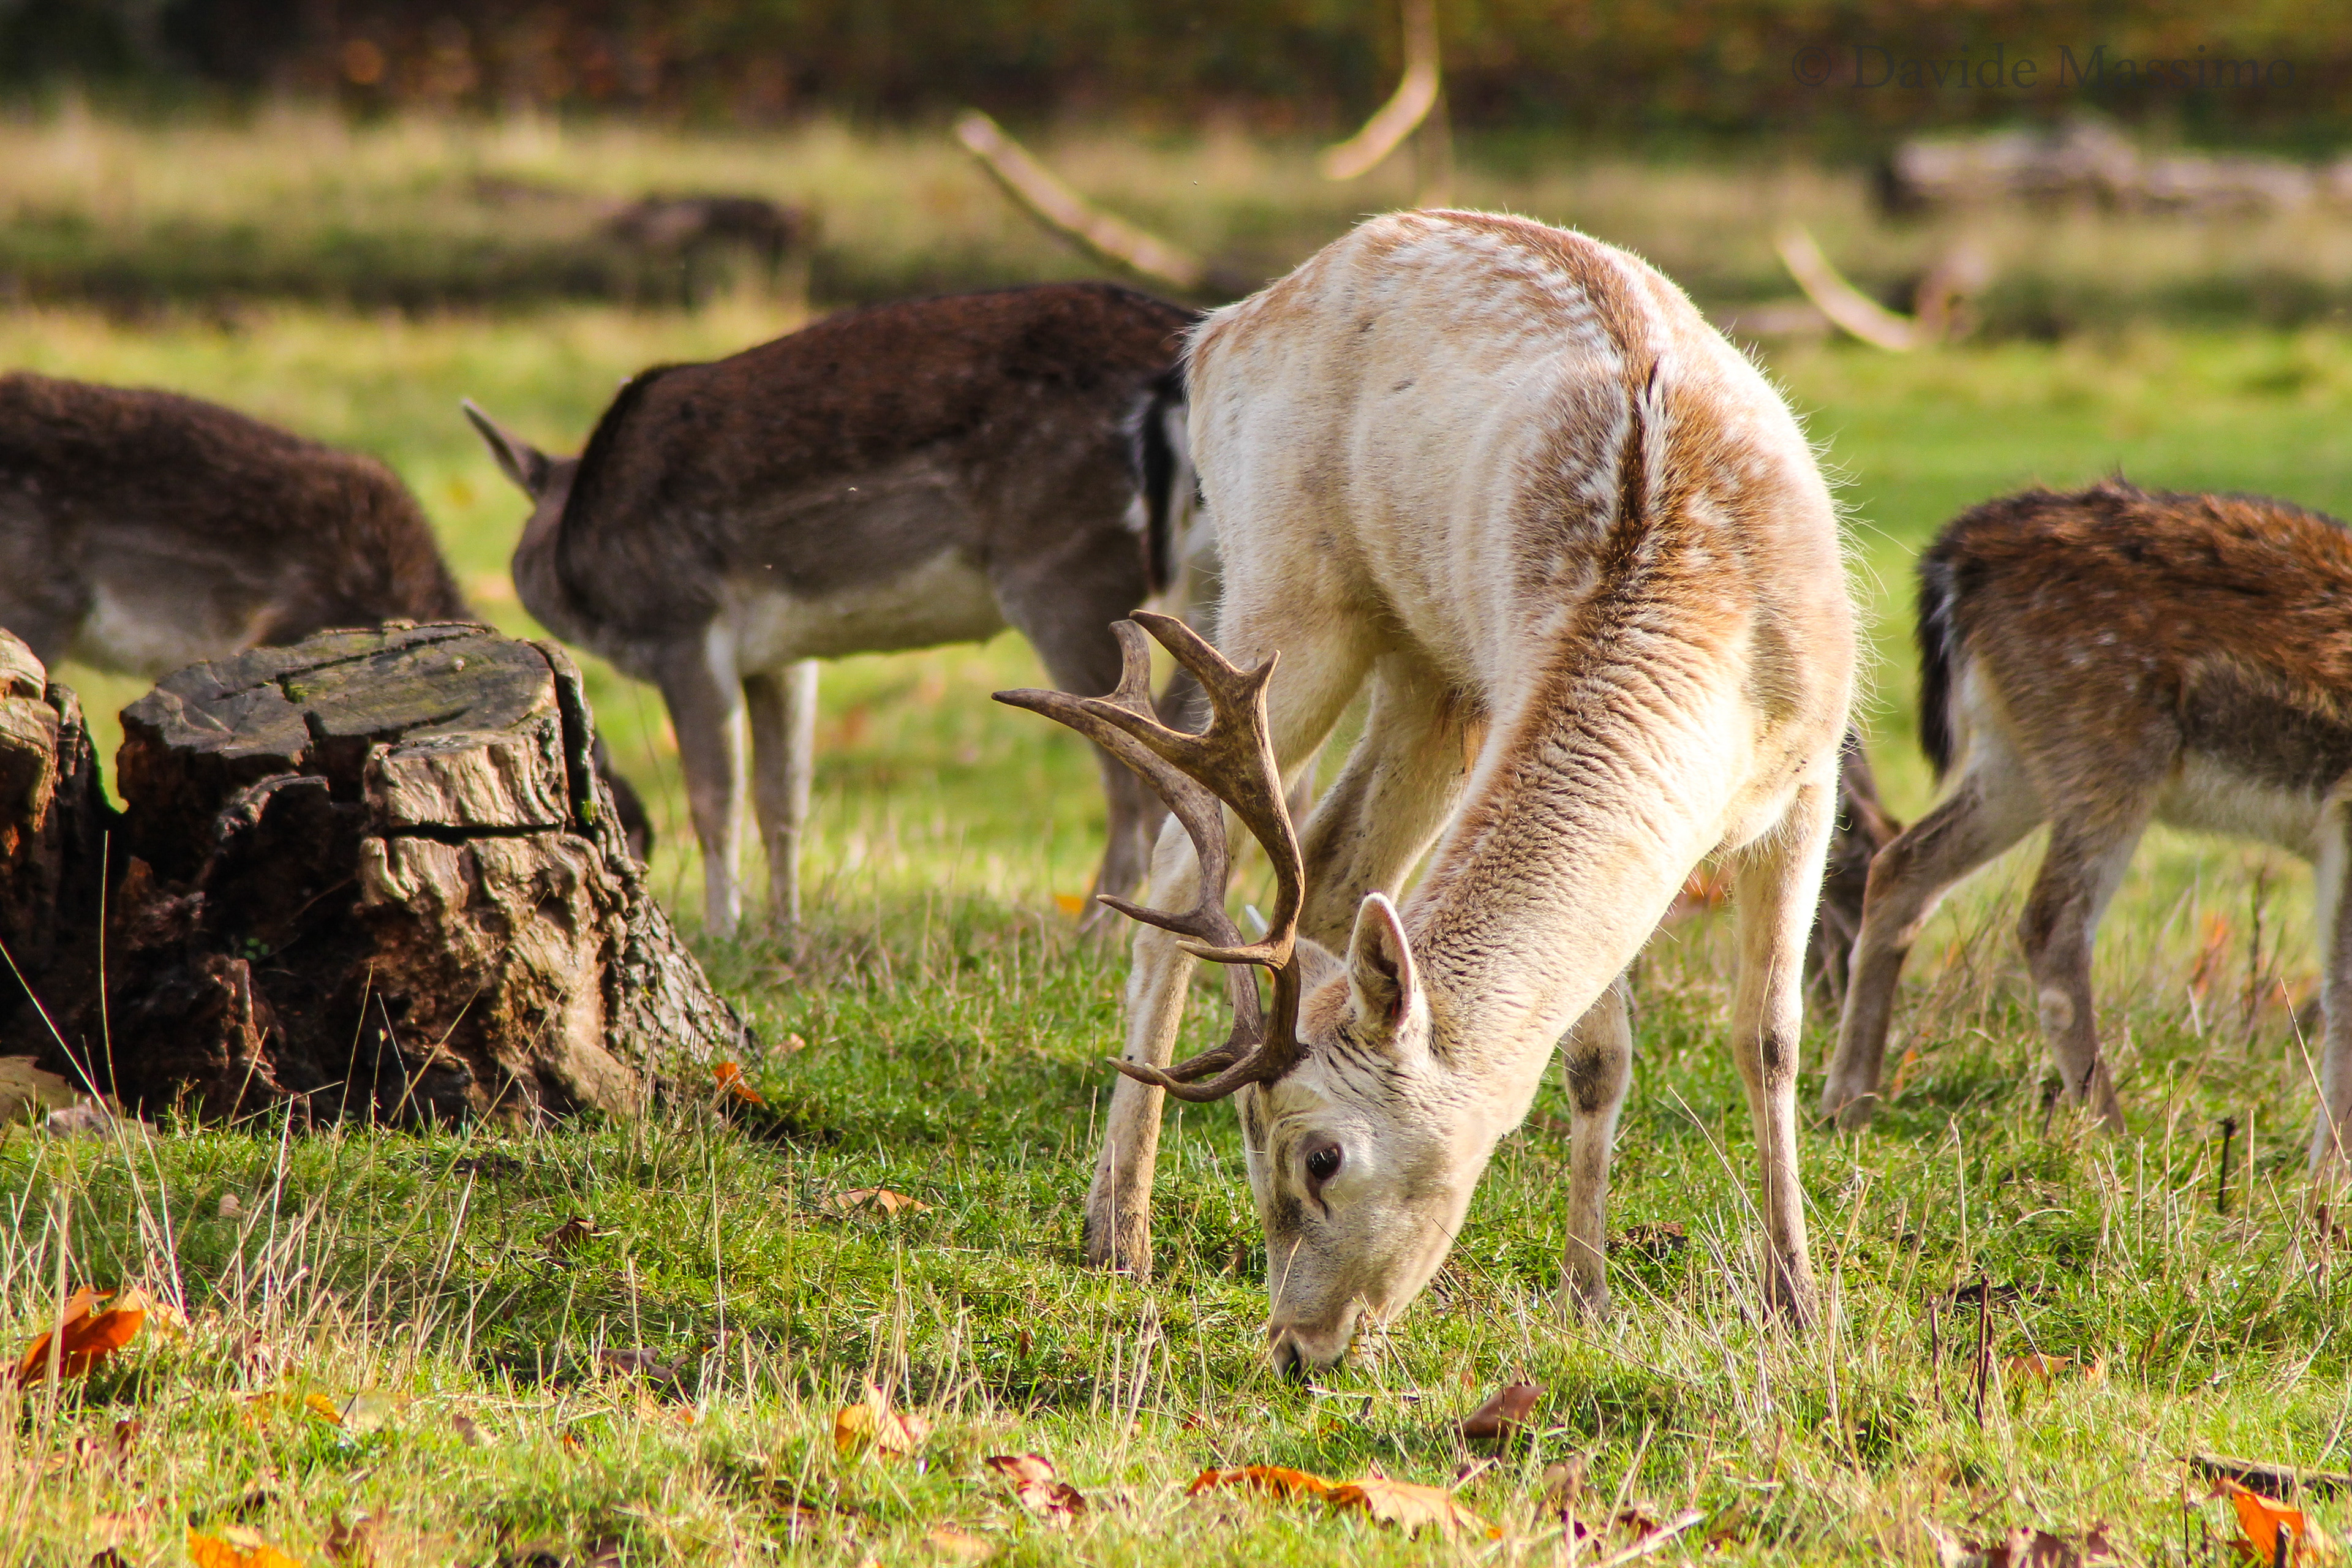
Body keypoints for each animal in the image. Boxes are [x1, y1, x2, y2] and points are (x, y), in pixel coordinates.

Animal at [463, 280, 1199, 939]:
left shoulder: (683, 625)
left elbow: (714, 799)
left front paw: (722, 934)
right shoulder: (782, 655)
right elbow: (783, 796)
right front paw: (784, 931)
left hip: (1067, 574)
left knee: (1138, 769)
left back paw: (1095, 939)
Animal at [999, 209, 1856, 1370]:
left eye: (1319, 1157)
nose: (1296, 1347)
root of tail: (1216, 330)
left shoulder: (1815, 772)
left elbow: (1768, 1039)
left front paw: (1797, 1302)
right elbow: (1595, 1052)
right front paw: (1586, 1294)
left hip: (1428, 675)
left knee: (1331, 866)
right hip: (1288, 597)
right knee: (1182, 870)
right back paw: (1116, 1231)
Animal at [1822, 480, 2352, 1184]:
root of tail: (1956, 556)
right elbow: (2344, 991)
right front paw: (2328, 1181)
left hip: (2018, 757)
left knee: (1902, 864)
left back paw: (1847, 1104)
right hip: (2106, 740)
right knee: (2050, 921)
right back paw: (2113, 1137)